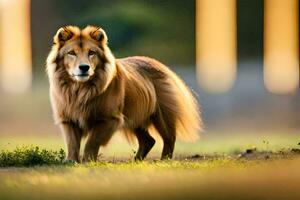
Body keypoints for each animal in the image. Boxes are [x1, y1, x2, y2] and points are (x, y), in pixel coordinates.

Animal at [45, 25, 203, 162]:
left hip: (162, 115)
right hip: (135, 117)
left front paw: (88, 160)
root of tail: (161, 65)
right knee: (148, 140)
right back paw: (136, 161)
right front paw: (71, 161)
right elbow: (72, 143)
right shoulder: (68, 119)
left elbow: (92, 142)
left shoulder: (109, 118)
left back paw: (164, 160)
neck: (80, 89)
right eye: (71, 53)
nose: (84, 67)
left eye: (91, 53)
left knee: (169, 138)